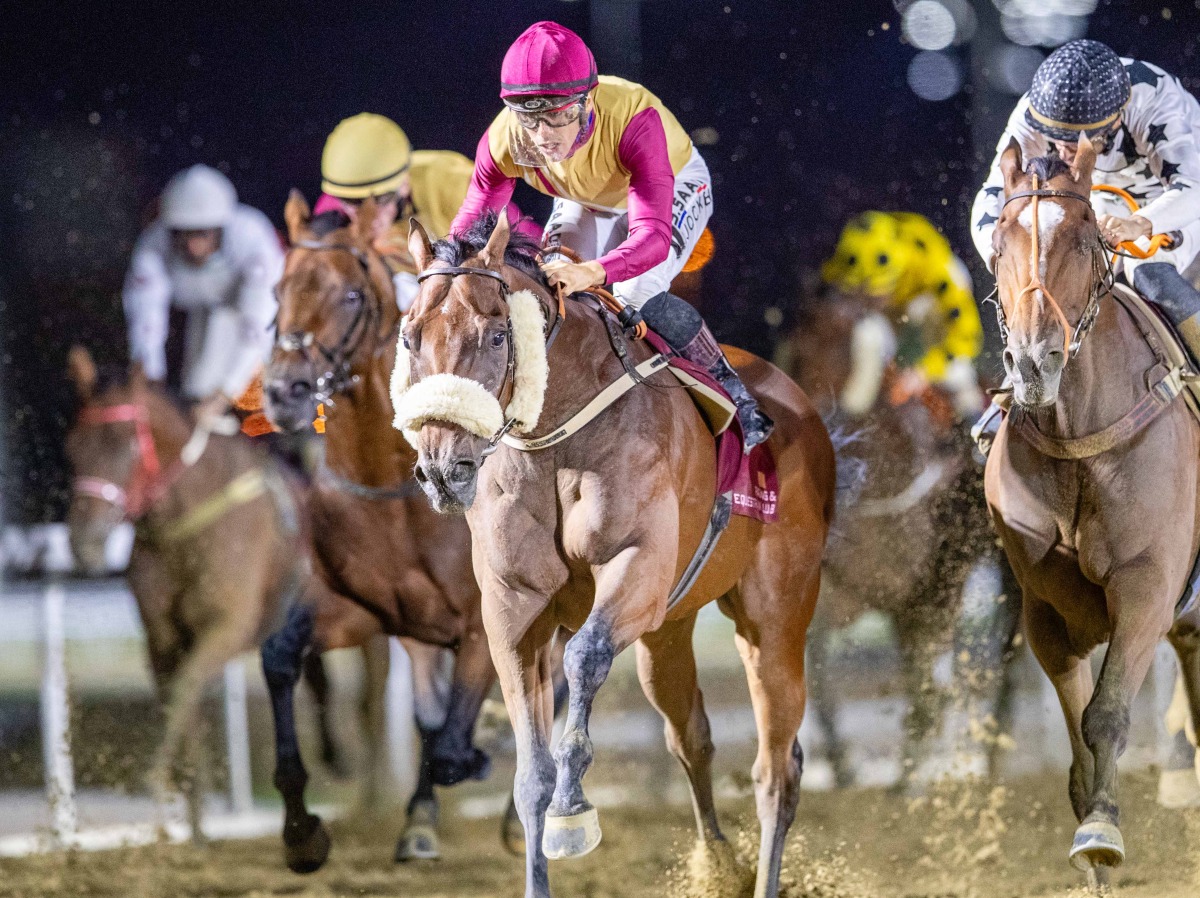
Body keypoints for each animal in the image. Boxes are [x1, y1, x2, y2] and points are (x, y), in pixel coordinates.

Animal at [60, 348, 376, 840]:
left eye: (126, 443)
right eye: (73, 446)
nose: (84, 543)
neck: (185, 528)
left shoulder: (227, 626)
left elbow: (187, 687)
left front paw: (160, 782)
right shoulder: (162, 639)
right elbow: (180, 703)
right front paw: (194, 825)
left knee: (372, 702)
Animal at [262, 194, 506, 869]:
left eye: (350, 295)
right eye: (277, 291)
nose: (284, 390)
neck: (396, 489)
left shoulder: (481, 625)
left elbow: (453, 744)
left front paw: (483, 748)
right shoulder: (362, 609)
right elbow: (280, 656)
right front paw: (302, 831)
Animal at [393, 212, 835, 897]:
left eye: (496, 335)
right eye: (410, 337)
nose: (443, 469)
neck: (555, 438)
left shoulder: (636, 573)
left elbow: (585, 655)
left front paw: (574, 811)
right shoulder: (513, 611)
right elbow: (531, 775)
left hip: (775, 618)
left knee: (775, 768)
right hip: (669, 633)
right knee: (691, 739)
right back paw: (719, 865)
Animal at [984, 135, 1200, 883]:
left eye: (1083, 237)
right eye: (1002, 240)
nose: (1033, 364)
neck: (1079, 442)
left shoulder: (1147, 586)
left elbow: (1104, 715)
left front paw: (1102, 830)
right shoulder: (1047, 611)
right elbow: (1078, 737)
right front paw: (1091, 842)